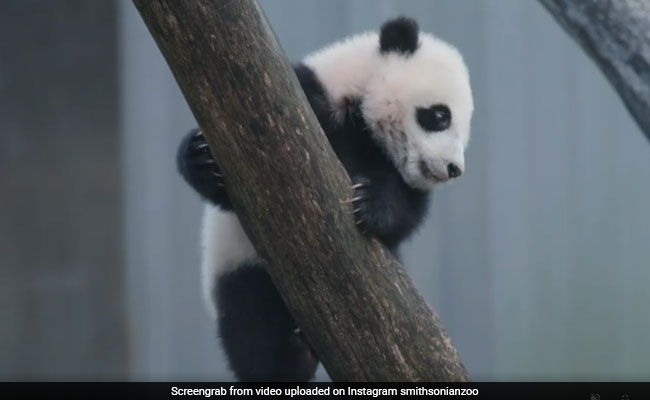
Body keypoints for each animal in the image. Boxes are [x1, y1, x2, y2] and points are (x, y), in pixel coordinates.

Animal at [176, 17, 473, 382]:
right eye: (441, 116)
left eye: (465, 134)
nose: (453, 169)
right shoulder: (304, 101)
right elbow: (233, 182)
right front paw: (201, 158)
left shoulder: (401, 177)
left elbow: (404, 210)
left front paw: (370, 204)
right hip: (240, 269)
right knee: (253, 328)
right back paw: (292, 357)